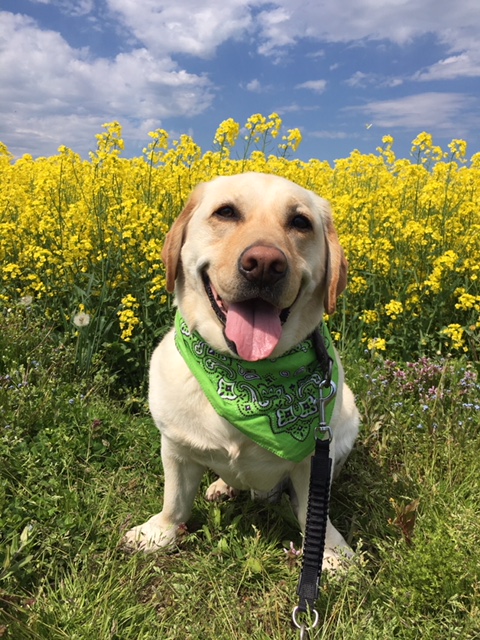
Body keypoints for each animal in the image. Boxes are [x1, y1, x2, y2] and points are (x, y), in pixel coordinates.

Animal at [125, 171, 358, 568]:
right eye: (226, 212)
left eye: (300, 222)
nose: (264, 263)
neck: (245, 376)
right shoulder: (175, 446)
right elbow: (174, 500)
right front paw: (159, 532)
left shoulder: (314, 462)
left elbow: (315, 514)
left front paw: (331, 552)